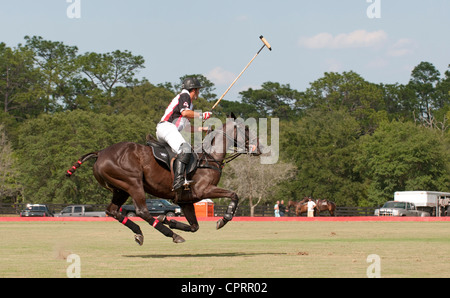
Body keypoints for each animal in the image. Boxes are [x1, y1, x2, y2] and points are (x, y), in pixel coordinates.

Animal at [64, 114, 260, 244]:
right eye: (246, 129)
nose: (259, 148)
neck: (209, 157)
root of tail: (100, 153)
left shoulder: (185, 200)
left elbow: (194, 226)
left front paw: (168, 219)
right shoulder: (203, 190)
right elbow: (234, 194)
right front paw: (223, 219)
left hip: (120, 188)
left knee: (112, 210)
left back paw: (140, 232)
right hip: (133, 183)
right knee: (142, 211)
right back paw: (171, 235)